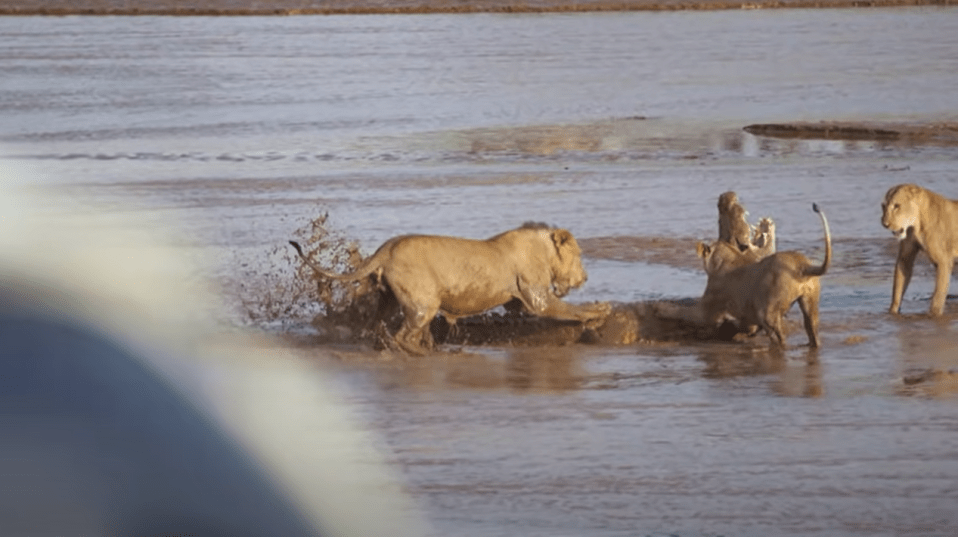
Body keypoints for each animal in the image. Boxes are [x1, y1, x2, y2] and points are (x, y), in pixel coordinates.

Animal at [288, 224, 612, 354]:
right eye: (579, 254)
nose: (585, 277)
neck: (543, 249)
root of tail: (385, 250)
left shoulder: (518, 302)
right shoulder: (538, 298)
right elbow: (571, 309)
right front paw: (600, 310)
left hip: (390, 299)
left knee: (382, 327)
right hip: (424, 303)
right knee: (404, 335)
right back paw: (427, 354)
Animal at [696, 202, 832, 348]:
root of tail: (801, 265)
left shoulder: (710, 300)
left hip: (767, 314)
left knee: (780, 338)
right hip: (810, 303)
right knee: (812, 331)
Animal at [880, 183, 958, 314]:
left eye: (897, 206)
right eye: (883, 206)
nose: (885, 224)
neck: (917, 225)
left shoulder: (943, 261)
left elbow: (938, 296)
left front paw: (933, 315)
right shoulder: (905, 258)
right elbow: (897, 290)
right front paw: (892, 312)